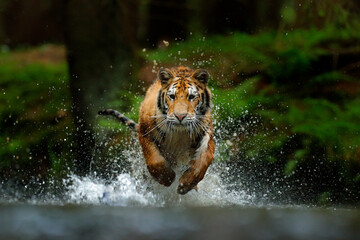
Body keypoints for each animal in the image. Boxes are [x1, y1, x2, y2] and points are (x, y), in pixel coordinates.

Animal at [99, 66, 214, 195]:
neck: (179, 133)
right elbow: (154, 160)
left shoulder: (207, 133)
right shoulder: (145, 132)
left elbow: (203, 161)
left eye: (191, 97)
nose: (180, 116)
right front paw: (167, 178)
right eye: (172, 96)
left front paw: (185, 185)